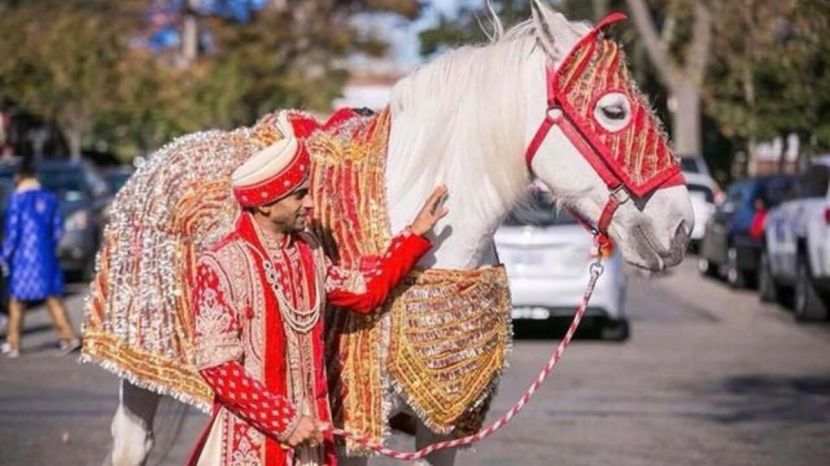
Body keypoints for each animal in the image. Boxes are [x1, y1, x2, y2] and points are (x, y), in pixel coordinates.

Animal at [97, 1, 696, 464]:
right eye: (614, 111)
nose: (681, 227)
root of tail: (155, 159)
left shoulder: (441, 427)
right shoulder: (351, 428)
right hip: (137, 372)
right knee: (132, 443)